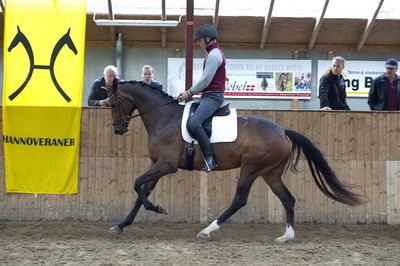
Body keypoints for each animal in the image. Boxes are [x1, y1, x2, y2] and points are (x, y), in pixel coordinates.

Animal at [108, 80, 364, 242]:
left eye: (112, 103)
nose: (118, 129)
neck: (164, 117)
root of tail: (283, 131)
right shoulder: (157, 165)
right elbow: (141, 193)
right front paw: (121, 225)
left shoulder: (166, 165)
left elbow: (136, 184)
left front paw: (158, 208)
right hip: (270, 173)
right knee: (288, 199)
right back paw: (287, 236)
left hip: (250, 169)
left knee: (239, 200)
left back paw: (207, 230)